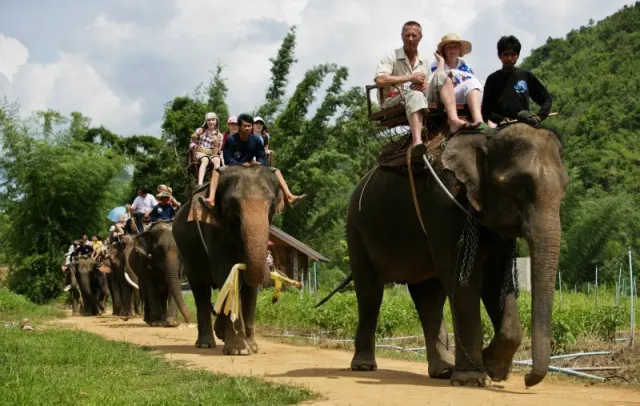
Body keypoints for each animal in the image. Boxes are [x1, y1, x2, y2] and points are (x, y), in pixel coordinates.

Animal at [172, 165, 282, 354]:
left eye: (272, 202)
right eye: (232, 203)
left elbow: (248, 284)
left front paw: (252, 347)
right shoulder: (214, 230)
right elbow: (226, 274)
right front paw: (238, 350)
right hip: (187, 255)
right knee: (200, 290)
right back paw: (206, 344)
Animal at [320, 124, 568, 387]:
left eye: (565, 187)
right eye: (520, 185)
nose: (528, 380)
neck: (485, 140)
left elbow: (497, 280)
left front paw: (493, 369)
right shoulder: (444, 203)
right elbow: (463, 281)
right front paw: (474, 379)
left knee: (428, 296)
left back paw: (443, 371)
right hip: (356, 229)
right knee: (370, 292)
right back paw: (364, 366)